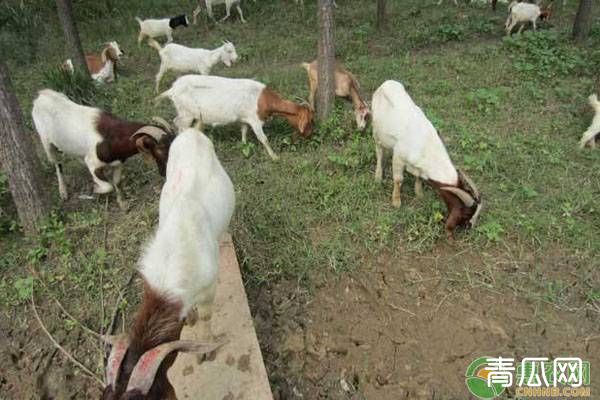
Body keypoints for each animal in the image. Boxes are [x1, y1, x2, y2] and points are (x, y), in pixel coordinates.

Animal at [31, 89, 173, 208]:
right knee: (57, 163)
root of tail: (41, 95)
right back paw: (63, 192)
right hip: (46, 143)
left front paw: (122, 204)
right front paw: (95, 189)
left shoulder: (118, 163)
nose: (165, 172)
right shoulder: (92, 163)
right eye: (160, 148)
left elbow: (117, 182)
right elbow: (108, 186)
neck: (111, 136)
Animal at [155, 74, 314, 160]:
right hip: (187, 112)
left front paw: (243, 145)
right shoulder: (255, 120)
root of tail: (173, 89)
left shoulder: (245, 119)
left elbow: (243, 131)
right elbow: (263, 139)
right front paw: (274, 157)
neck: (263, 99)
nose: (309, 135)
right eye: (310, 120)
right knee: (179, 124)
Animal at [370, 79, 482, 239]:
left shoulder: (419, 166)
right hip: (376, 132)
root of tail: (386, 83)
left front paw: (419, 194)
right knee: (379, 152)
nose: (468, 227)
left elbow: (418, 177)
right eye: (466, 214)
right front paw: (396, 202)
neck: (426, 144)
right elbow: (398, 180)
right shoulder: (399, 157)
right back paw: (378, 177)